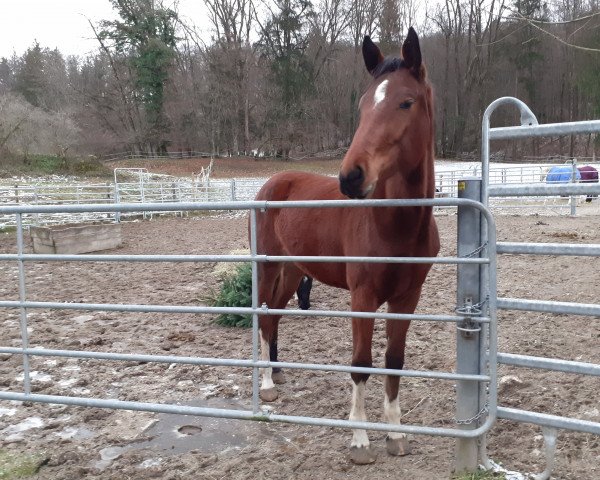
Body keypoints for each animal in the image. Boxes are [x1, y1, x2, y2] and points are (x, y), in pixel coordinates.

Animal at [251, 27, 438, 464]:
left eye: (406, 102)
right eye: (363, 105)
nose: (351, 177)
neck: (394, 227)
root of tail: (273, 183)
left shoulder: (408, 297)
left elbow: (394, 361)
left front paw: (396, 434)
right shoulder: (363, 296)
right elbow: (360, 364)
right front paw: (360, 441)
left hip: (294, 271)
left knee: (275, 315)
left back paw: (277, 371)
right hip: (269, 266)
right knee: (264, 316)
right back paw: (266, 385)